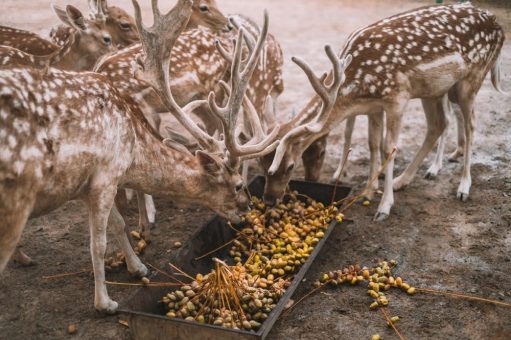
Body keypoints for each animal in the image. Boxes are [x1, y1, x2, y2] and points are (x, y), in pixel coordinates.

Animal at [1, 0, 280, 314]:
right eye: (237, 186)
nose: (247, 210)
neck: (134, 152)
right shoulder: (106, 175)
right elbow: (98, 241)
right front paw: (105, 301)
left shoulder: (90, 184)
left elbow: (118, 223)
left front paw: (138, 266)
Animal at [266, 3, 506, 222]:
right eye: (264, 165)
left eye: (290, 166)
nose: (269, 199)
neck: (356, 89)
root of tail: (499, 26)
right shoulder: (374, 107)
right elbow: (373, 143)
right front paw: (368, 192)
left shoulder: (397, 98)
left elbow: (388, 147)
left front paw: (384, 207)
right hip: (434, 91)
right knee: (437, 125)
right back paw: (403, 180)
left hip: (471, 80)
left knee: (471, 124)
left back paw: (463, 186)